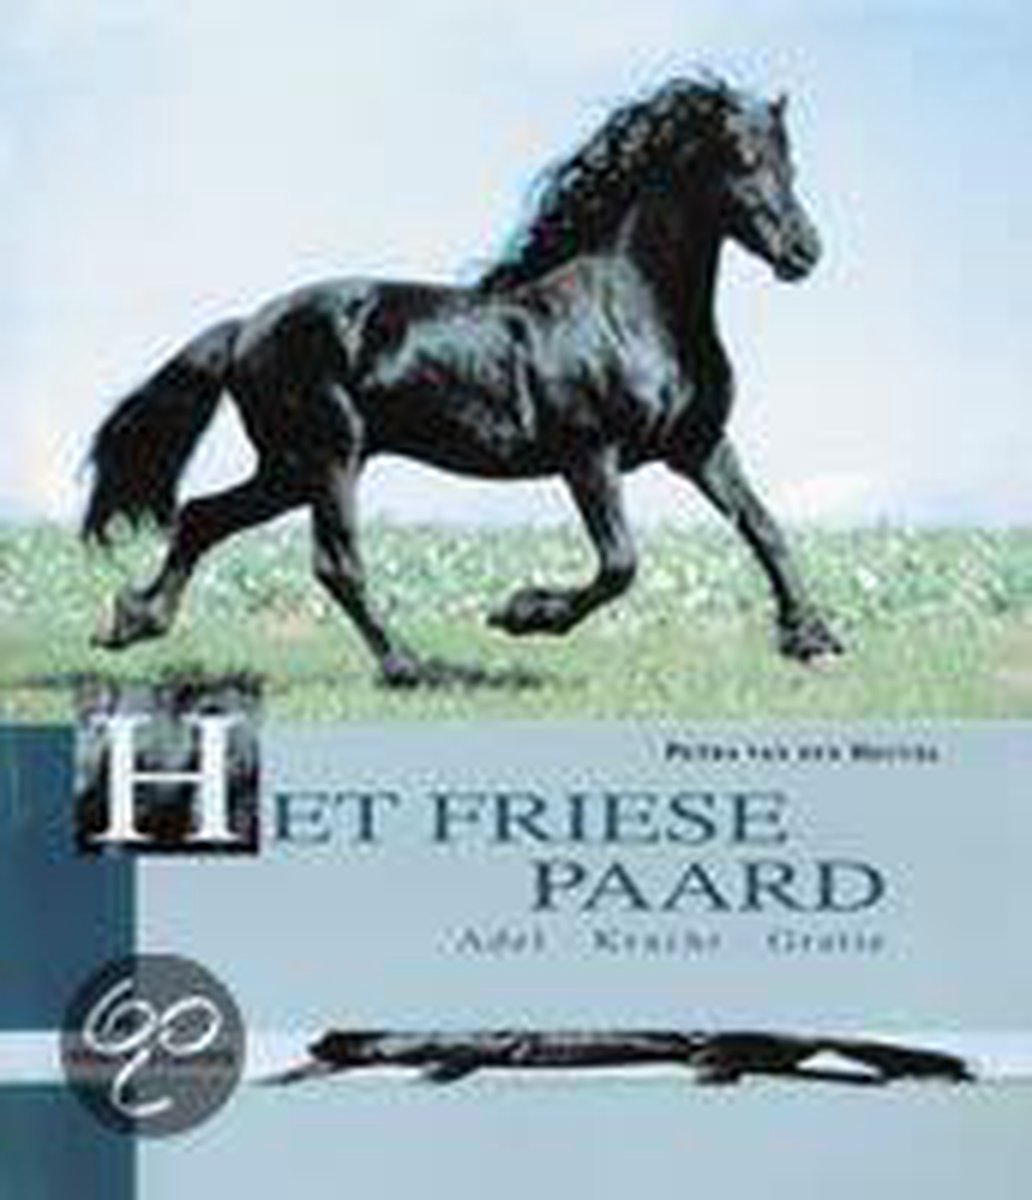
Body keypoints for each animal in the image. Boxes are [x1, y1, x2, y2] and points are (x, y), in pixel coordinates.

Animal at [83, 75, 843, 687]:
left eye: (792, 161)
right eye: (743, 159)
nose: (805, 252)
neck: (633, 309)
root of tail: (246, 328)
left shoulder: (698, 447)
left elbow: (765, 529)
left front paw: (812, 638)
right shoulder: (589, 454)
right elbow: (620, 563)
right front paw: (521, 613)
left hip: (288, 468)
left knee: (203, 515)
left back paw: (131, 622)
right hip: (328, 456)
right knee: (335, 563)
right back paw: (410, 666)